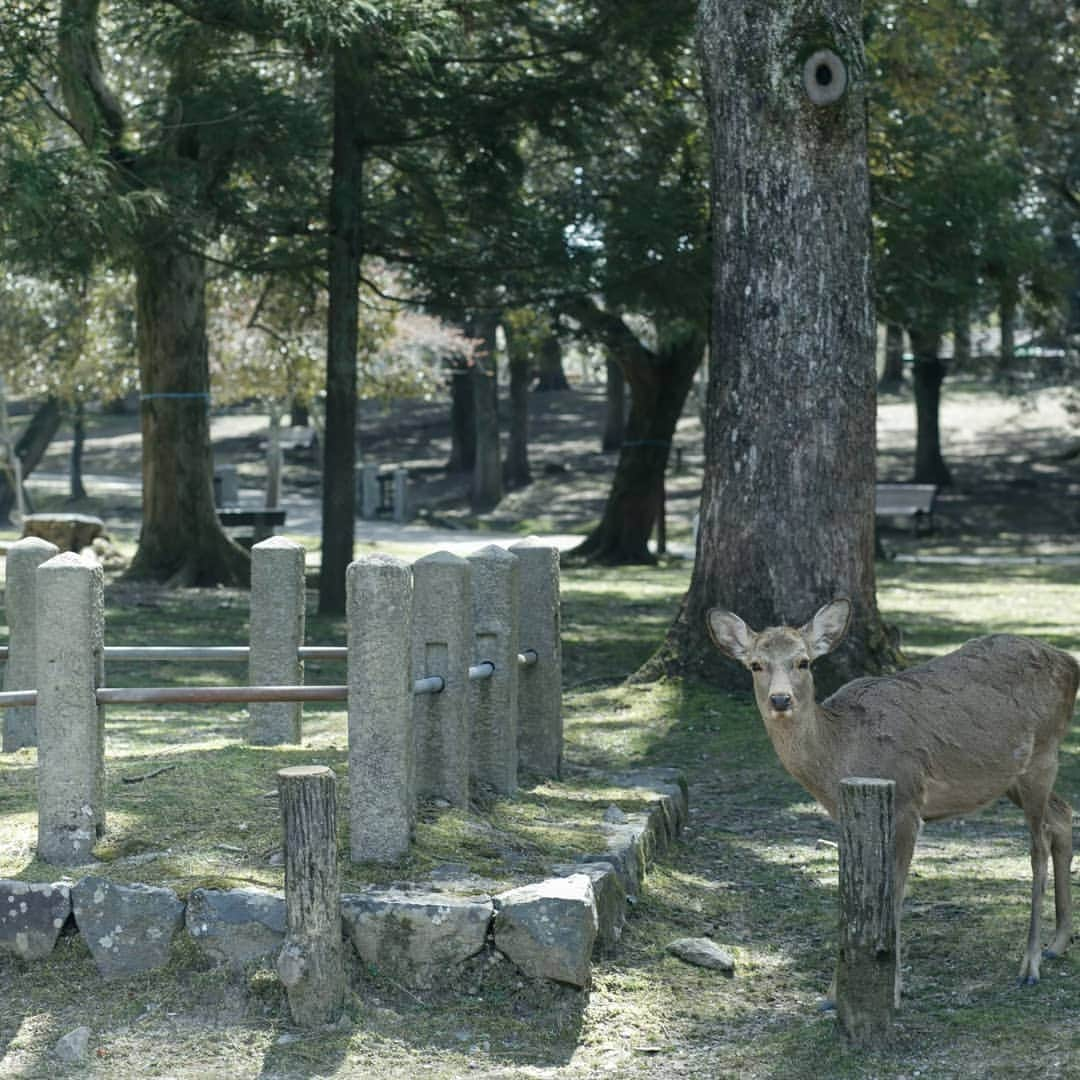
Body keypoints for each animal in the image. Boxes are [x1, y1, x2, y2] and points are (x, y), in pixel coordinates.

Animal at [704, 596, 1075, 997]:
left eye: (803, 661)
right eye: (756, 665)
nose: (780, 699)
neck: (840, 755)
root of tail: (1071, 663)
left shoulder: (907, 803)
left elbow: (893, 894)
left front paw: (891, 985)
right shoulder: (846, 815)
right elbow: (852, 892)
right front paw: (833, 995)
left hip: (1042, 757)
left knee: (1038, 846)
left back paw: (1030, 964)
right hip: (1011, 778)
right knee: (1063, 813)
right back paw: (1058, 943)